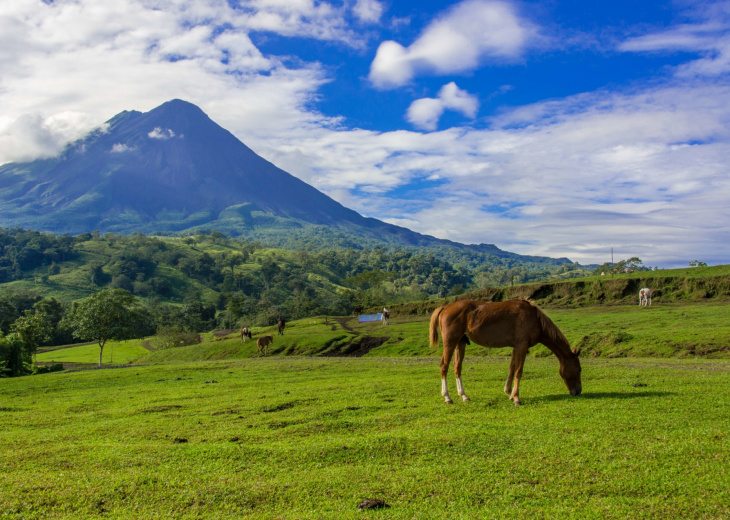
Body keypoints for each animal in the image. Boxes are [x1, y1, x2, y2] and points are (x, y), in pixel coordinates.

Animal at [426, 296, 580, 406]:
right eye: (578, 369)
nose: (578, 391)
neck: (534, 317)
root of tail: (445, 307)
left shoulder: (516, 347)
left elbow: (512, 368)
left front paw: (509, 393)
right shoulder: (522, 346)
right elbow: (518, 371)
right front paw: (516, 398)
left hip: (460, 343)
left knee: (457, 367)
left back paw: (464, 395)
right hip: (450, 343)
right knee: (444, 366)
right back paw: (447, 397)